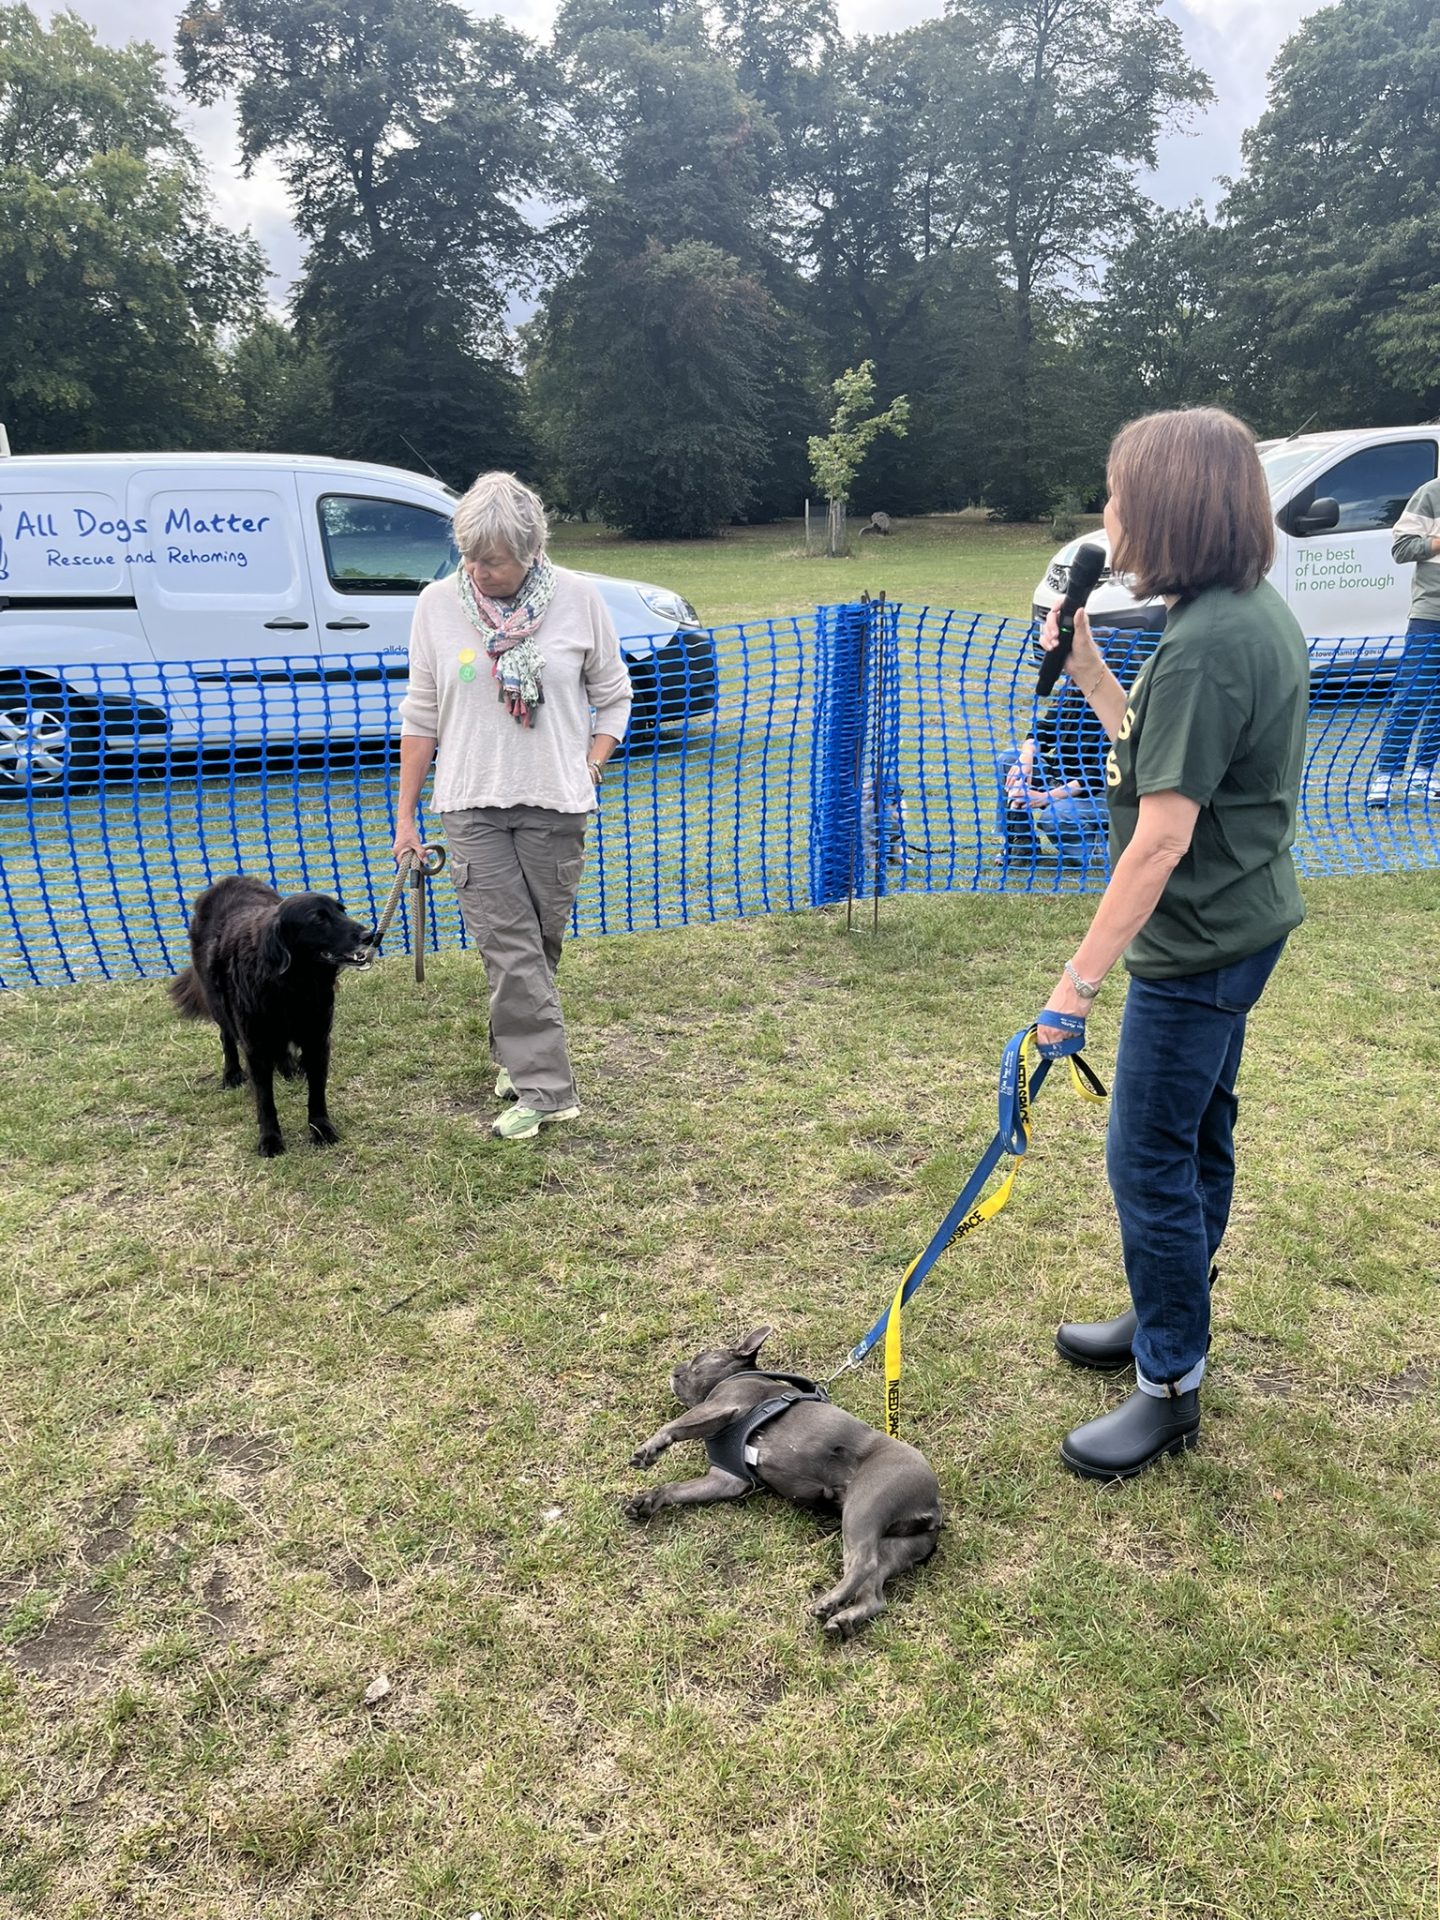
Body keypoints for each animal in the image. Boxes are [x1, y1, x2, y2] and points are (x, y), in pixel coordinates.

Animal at [170, 876, 373, 1157]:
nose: (370, 935)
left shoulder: (317, 1039)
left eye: (341, 910)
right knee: (226, 1035)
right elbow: (265, 1100)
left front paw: (321, 1129)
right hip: (218, 1002)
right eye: (318, 919)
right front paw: (270, 1140)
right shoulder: (255, 1047)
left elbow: (316, 1092)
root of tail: (227, 880)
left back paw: (287, 1067)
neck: (293, 985)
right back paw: (232, 1073)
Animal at [626, 1327, 943, 1637]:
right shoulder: (725, 1479)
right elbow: (677, 1489)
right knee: (874, 1594)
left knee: (863, 1562)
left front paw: (650, 1448)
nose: (674, 1370)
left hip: (864, 1507)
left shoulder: (725, 1404)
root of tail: (933, 1505)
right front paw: (647, 1500)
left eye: (697, 1359)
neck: (735, 1375)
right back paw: (844, 1620)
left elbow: (677, 1425)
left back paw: (829, 1601)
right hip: (896, 1546)